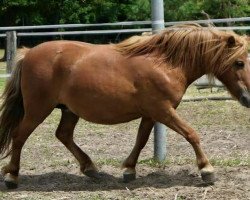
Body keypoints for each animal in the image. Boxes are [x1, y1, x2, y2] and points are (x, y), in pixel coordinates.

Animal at [0, 24, 250, 188]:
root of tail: (28, 54)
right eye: (239, 62)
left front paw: (129, 170)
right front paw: (207, 170)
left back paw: (91, 169)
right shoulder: (163, 111)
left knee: (63, 135)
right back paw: (12, 177)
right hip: (38, 109)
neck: (166, 64)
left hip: (68, 110)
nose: (248, 98)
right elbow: (191, 134)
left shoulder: (151, 114)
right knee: (20, 136)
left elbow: (141, 140)